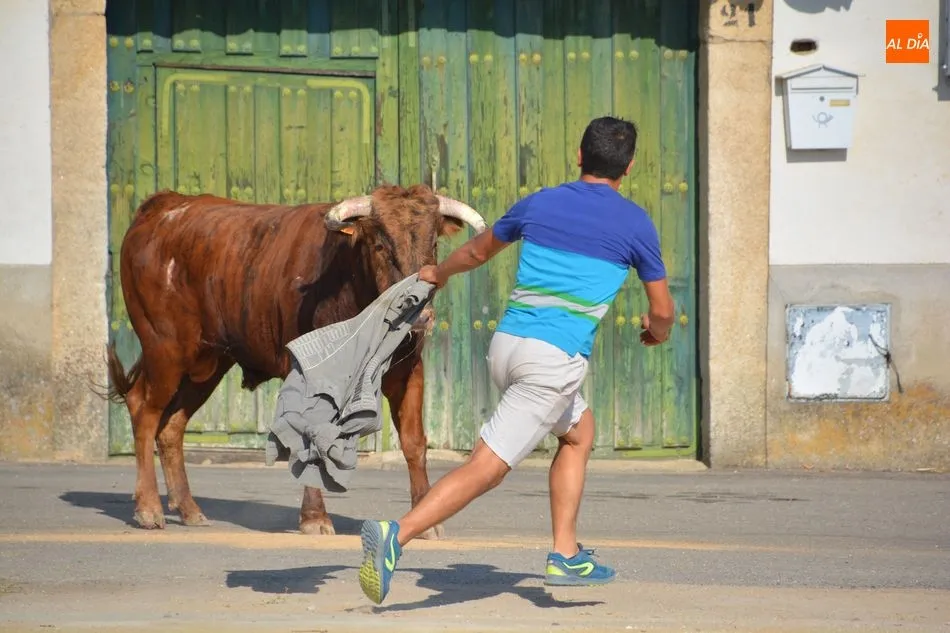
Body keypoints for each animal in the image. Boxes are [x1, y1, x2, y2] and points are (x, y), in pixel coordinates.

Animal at [104, 184, 487, 538]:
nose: (420, 315)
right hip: (165, 347)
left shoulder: (408, 371)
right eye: (380, 245)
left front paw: (427, 520)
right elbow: (310, 440)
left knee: (171, 426)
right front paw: (315, 518)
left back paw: (189, 509)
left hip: (208, 362)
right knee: (144, 411)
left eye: (433, 245)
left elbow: (414, 442)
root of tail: (165, 204)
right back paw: (149, 509)